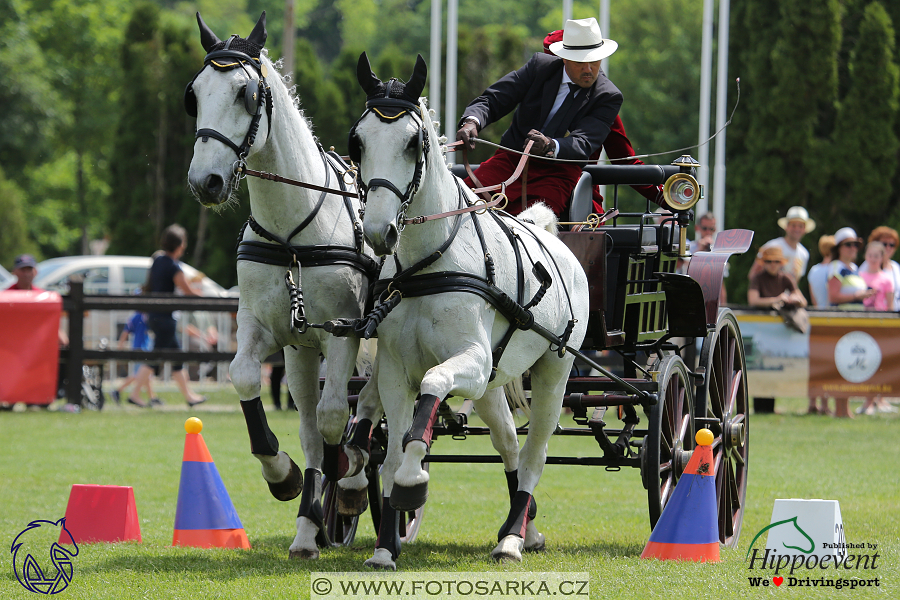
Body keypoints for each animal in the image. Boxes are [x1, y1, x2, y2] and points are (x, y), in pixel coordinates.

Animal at [185, 12, 378, 556]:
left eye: (246, 94)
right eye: (194, 94)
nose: (205, 182)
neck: (295, 234)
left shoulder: (344, 333)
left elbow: (337, 418)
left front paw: (343, 483)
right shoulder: (263, 327)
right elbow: (245, 378)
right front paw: (284, 475)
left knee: (371, 409)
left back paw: (349, 484)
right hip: (300, 353)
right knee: (317, 427)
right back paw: (309, 524)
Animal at [346, 54, 592, 568]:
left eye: (414, 142)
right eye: (357, 142)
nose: (379, 231)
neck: (431, 261)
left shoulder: (470, 362)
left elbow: (432, 389)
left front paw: (412, 484)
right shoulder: (396, 371)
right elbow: (392, 452)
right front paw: (385, 547)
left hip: (553, 372)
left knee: (535, 453)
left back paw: (512, 539)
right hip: (494, 384)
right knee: (509, 445)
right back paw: (526, 527)